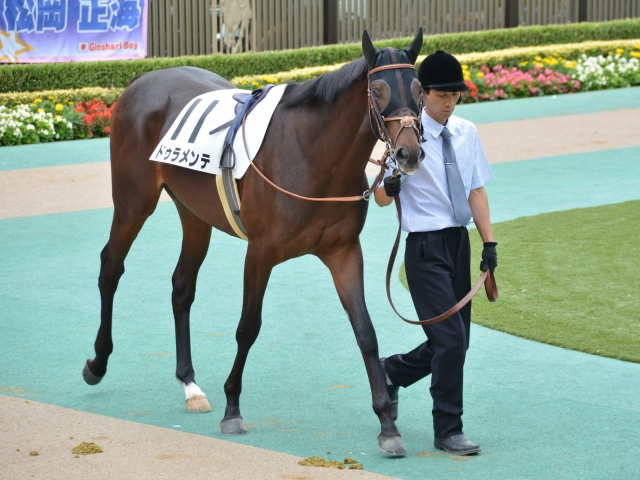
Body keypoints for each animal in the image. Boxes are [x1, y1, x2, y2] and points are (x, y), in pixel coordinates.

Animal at [82, 30, 426, 455]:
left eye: (419, 89)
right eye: (377, 91)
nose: (409, 153)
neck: (312, 154)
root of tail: (142, 79)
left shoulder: (344, 251)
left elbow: (365, 331)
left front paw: (386, 422)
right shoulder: (260, 251)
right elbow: (248, 327)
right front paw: (232, 408)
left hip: (195, 213)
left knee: (182, 287)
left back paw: (189, 384)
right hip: (134, 202)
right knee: (110, 267)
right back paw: (97, 363)